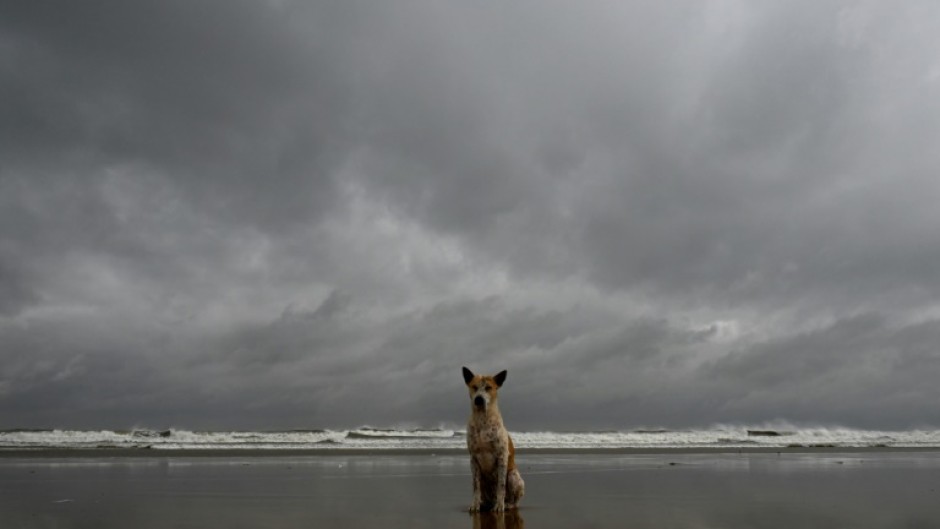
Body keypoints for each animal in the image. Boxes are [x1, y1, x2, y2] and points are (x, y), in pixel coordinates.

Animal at [464, 366, 524, 510]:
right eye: (474, 387)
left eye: (488, 387)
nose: (479, 399)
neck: (482, 420)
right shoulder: (473, 458)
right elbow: (475, 486)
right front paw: (475, 504)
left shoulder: (501, 456)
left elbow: (501, 485)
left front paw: (499, 505)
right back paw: (483, 503)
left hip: (514, 476)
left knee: (513, 499)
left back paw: (507, 504)